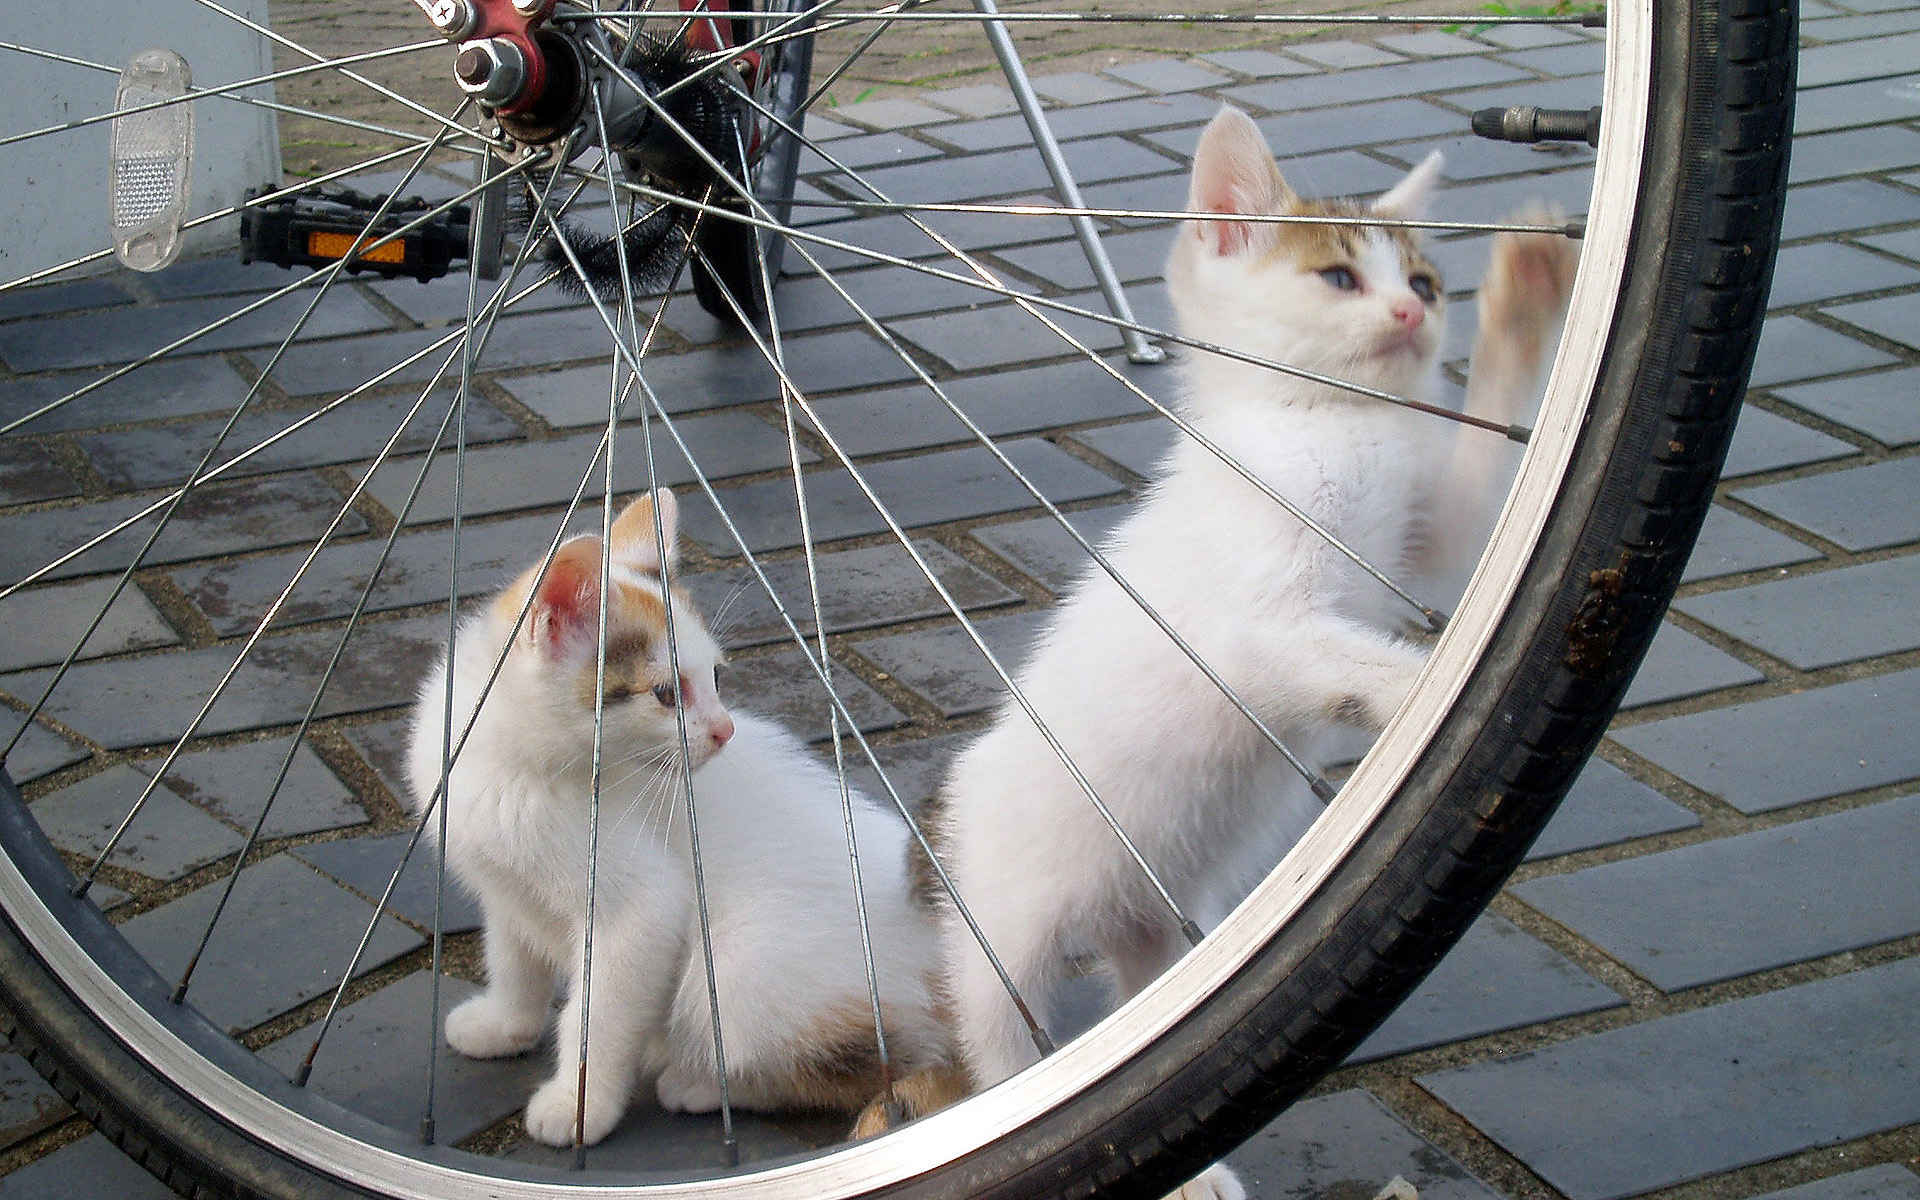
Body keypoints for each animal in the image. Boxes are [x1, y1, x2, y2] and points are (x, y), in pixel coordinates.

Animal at [408, 491, 948, 1144]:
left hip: (745, 965)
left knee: (874, 1067)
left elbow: (598, 1017)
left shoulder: (639, 911)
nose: (725, 730)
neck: (521, 768)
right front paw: (503, 1024)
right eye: (666, 694)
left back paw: (701, 1082)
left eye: (714, 677)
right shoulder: (507, 886)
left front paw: (578, 1106)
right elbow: (513, 959)